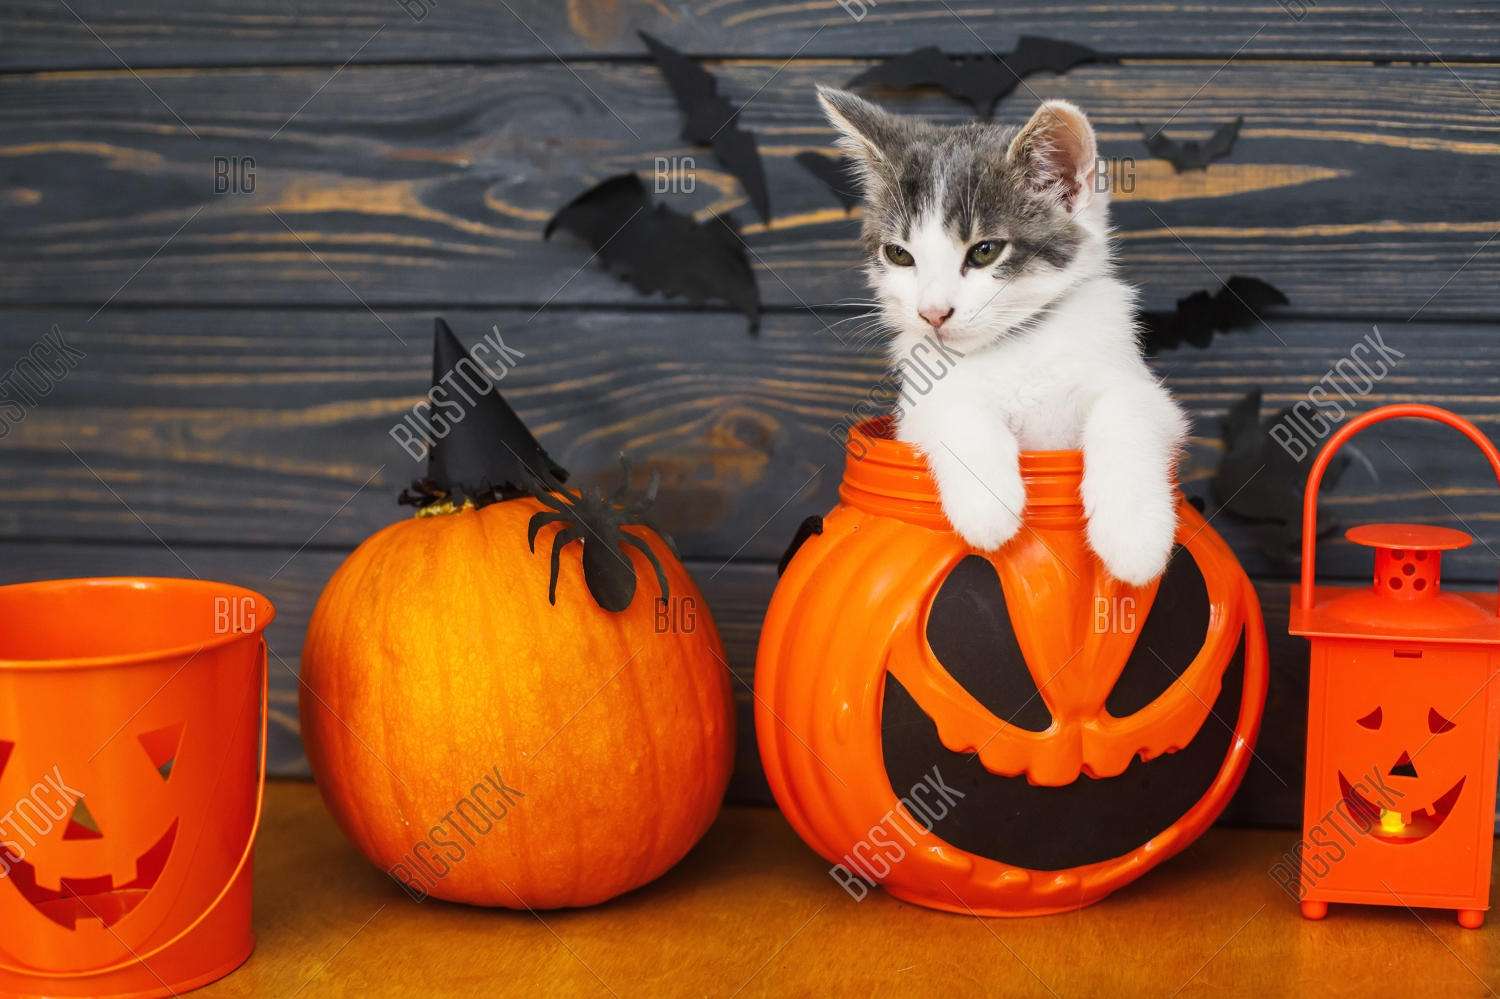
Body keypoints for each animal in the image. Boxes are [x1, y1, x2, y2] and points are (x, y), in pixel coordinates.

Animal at [816, 89, 1188, 585]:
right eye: (898, 254)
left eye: (985, 251)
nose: (932, 313)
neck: (1014, 344)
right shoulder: (909, 418)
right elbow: (949, 406)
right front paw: (986, 505)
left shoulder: (1143, 388)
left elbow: (1130, 407)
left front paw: (1134, 534)